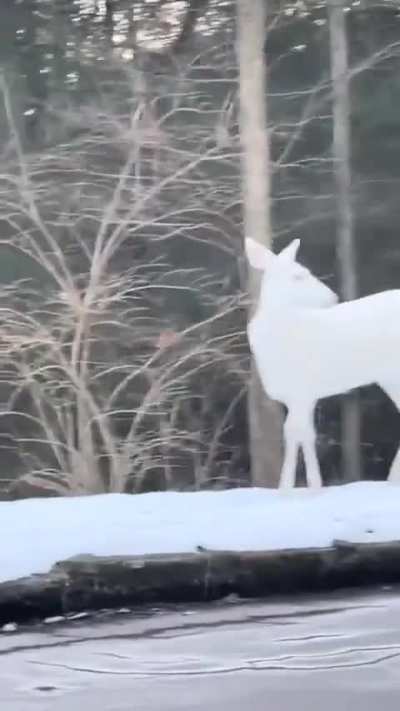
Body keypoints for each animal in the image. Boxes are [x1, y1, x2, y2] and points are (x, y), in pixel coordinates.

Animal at [245, 236, 400, 488]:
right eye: (299, 275)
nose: (333, 297)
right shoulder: (303, 395)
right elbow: (301, 434)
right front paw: (302, 486)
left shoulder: (301, 389)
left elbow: (298, 433)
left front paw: (298, 486)